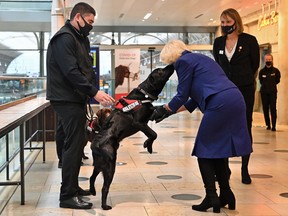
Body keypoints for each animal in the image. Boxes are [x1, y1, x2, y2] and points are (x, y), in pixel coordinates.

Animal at [89, 64, 174, 209]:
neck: (143, 95)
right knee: (104, 188)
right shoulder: (139, 123)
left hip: (99, 165)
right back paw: (105, 206)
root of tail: (96, 145)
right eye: (160, 71)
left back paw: (92, 191)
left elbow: (153, 128)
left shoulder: (148, 118)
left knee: (91, 178)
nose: (172, 65)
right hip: (110, 166)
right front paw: (148, 145)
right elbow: (154, 134)